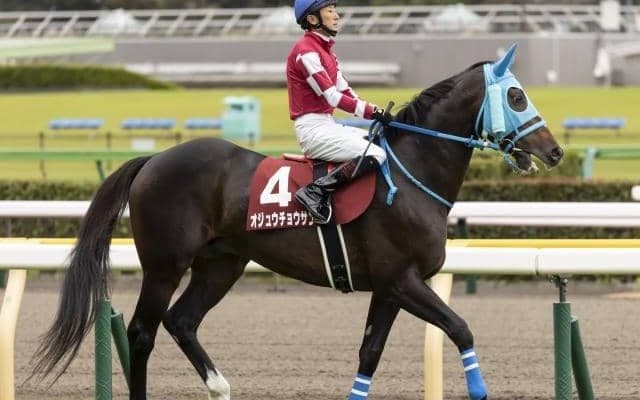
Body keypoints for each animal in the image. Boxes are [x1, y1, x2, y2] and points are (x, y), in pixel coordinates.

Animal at [34, 44, 563, 400]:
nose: (555, 151)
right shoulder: (403, 279)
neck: (409, 174)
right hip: (165, 264)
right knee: (142, 331)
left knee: (181, 320)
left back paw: (221, 386)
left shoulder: (389, 287)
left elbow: (370, 352)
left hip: (221, 264)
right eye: (517, 97)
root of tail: (155, 159)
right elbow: (461, 329)